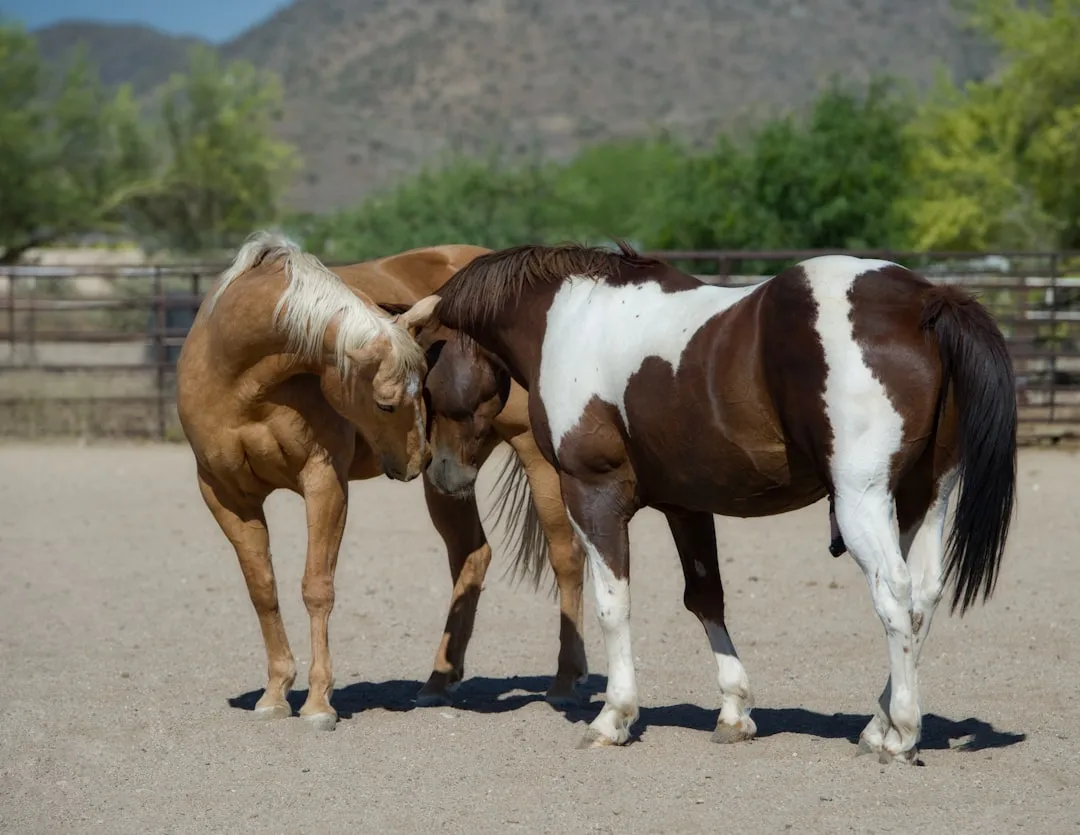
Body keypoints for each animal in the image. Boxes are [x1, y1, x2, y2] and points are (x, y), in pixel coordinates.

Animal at [176, 233, 587, 731]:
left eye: (422, 385)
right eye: (387, 403)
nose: (416, 459)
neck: (237, 377)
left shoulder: (325, 483)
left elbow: (317, 588)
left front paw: (319, 703)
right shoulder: (226, 495)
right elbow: (262, 589)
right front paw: (275, 693)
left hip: (532, 458)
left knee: (566, 556)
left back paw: (565, 682)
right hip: (450, 476)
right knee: (472, 555)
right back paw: (438, 681)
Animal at [401, 242, 1018, 764]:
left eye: (426, 377)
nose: (442, 472)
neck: (568, 318)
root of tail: (924, 301)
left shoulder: (593, 493)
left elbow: (612, 604)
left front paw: (613, 717)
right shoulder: (686, 505)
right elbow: (706, 599)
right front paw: (734, 710)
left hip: (862, 499)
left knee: (894, 593)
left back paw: (902, 733)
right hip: (923, 497)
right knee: (923, 596)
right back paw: (878, 725)